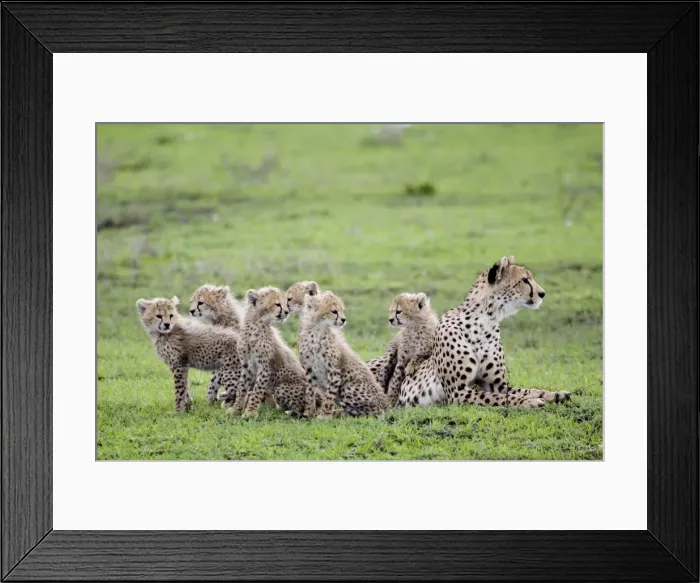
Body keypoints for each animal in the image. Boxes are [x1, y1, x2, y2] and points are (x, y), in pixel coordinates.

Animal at [221, 286, 308, 419]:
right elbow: (242, 389)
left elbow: (256, 391)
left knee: (299, 408)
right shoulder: (246, 366)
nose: (287, 312)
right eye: (277, 304)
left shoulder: (264, 368)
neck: (255, 325)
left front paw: (250, 413)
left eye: (285, 303)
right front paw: (235, 409)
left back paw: (288, 412)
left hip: (282, 388)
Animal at [297, 290, 391, 419]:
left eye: (342, 310)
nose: (343, 319)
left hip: (349, 387)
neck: (316, 331)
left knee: (374, 411)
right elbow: (310, 392)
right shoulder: (310, 370)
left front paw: (324, 416)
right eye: (334, 311)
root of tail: (388, 405)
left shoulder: (334, 371)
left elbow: (329, 396)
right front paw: (308, 413)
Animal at [396, 256, 572, 409]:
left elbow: (527, 390)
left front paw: (555, 394)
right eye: (524, 280)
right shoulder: (458, 391)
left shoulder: (498, 384)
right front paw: (530, 402)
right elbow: (501, 397)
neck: (486, 319)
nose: (542, 293)